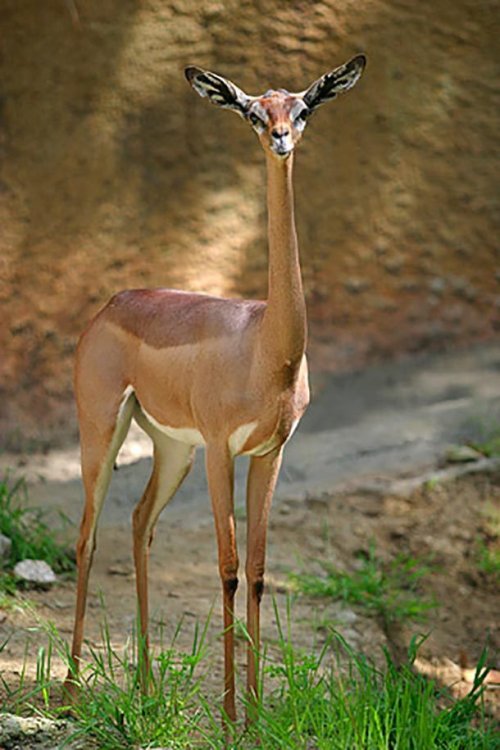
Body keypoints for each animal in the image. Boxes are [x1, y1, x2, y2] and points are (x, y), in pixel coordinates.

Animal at [64, 53, 366, 724]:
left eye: (303, 108)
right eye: (253, 111)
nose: (280, 138)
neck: (266, 352)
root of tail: (112, 304)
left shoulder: (269, 453)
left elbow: (257, 569)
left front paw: (257, 713)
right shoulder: (223, 452)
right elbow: (226, 567)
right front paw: (231, 714)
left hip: (172, 449)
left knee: (139, 523)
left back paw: (145, 686)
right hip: (103, 431)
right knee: (87, 537)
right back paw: (69, 694)